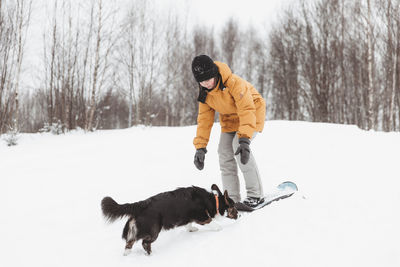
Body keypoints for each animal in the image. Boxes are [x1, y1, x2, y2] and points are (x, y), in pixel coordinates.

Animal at [101, 184, 238, 255]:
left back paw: (127, 254)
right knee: (144, 242)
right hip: (154, 231)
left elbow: (188, 224)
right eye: (234, 207)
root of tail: (142, 204)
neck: (214, 202)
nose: (240, 215)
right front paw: (219, 228)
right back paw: (150, 254)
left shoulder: (188, 217)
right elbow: (212, 223)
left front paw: (191, 229)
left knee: (129, 242)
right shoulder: (202, 217)